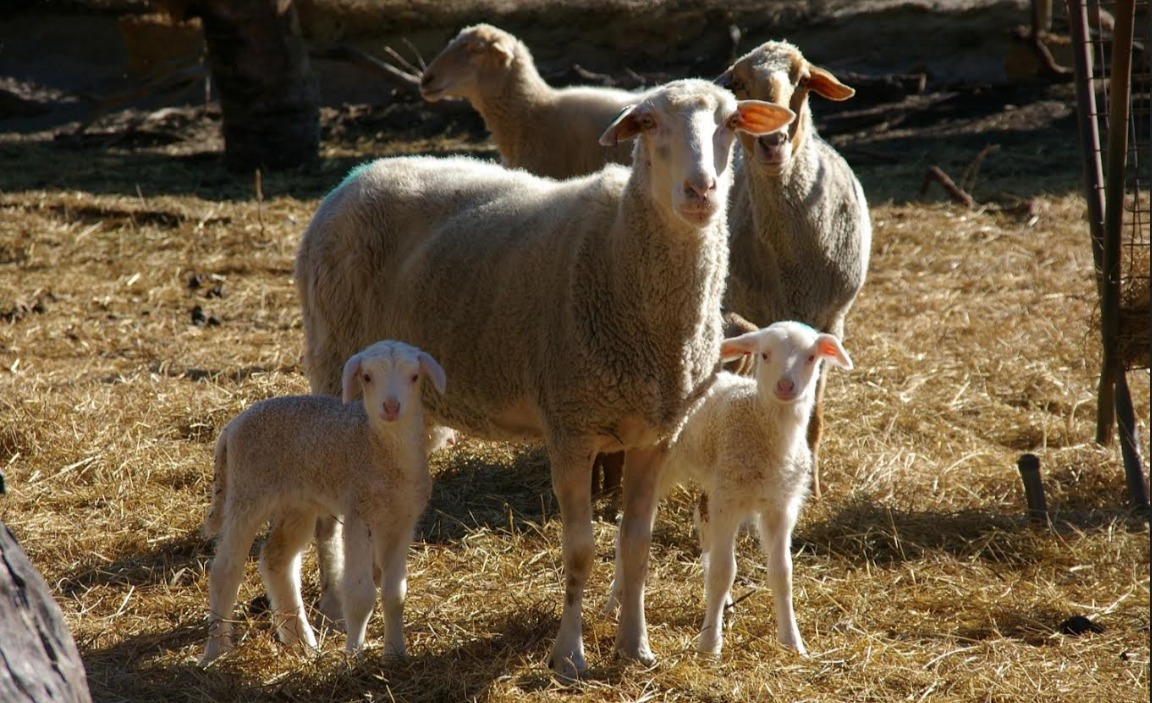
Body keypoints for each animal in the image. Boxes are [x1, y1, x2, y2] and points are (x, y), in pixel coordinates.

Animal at [200, 338, 446, 663]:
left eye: (414, 376)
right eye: (367, 377)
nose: (391, 407)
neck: (380, 448)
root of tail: (231, 427)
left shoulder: (402, 520)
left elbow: (395, 595)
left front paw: (395, 654)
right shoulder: (358, 514)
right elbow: (360, 596)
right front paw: (354, 656)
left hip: (297, 503)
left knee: (277, 559)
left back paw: (302, 642)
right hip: (248, 491)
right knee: (225, 569)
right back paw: (215, 651)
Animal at [292, 77, 797, 677]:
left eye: (733, 123)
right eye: (648, 123)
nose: (701, 190)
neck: (622, 259)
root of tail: (353, 179)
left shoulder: (654, 436)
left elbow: (636, 546)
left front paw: (635, 646)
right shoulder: (571, 429)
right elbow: (580, 551)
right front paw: (570, 654)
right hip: (333, 362)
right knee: (326, 504)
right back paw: (330, 604)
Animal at [608, 320, 852, 654]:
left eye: (811, 357)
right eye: (765, 355)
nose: (785, 386)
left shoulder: (780, 507)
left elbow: (782, 573)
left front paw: (792, 642)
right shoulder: (729, 501)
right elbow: (724, 571)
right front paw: (710, 644)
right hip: (662, 469)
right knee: (627, 526)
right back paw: (616, 599)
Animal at [714, 39, 866, 497]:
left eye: (802, 81)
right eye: (738, 83)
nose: (773, 141)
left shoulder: (831, 320)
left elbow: (813, 415)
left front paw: (812, 487)